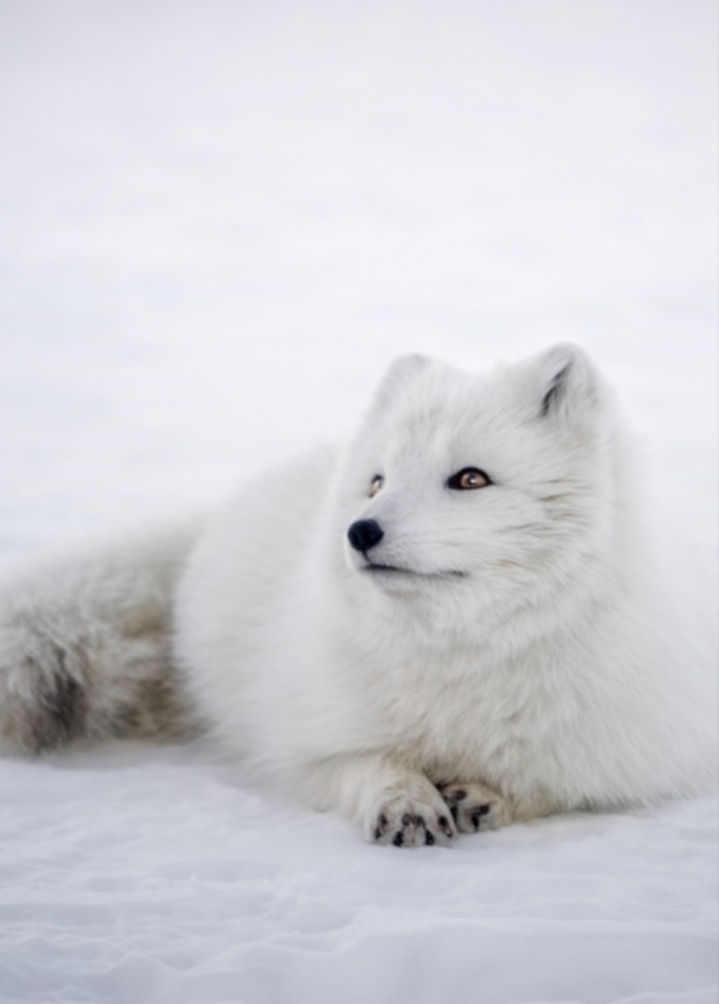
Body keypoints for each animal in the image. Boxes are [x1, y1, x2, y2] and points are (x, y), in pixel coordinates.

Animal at [1, 345, 716, 847]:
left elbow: (558, 786)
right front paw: (404, 799)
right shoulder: (300, 744)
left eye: (470, 478)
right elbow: (366, 762)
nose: (360, 531)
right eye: (377, 482)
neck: (462, 656)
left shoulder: (639, 753)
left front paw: (489, 795)